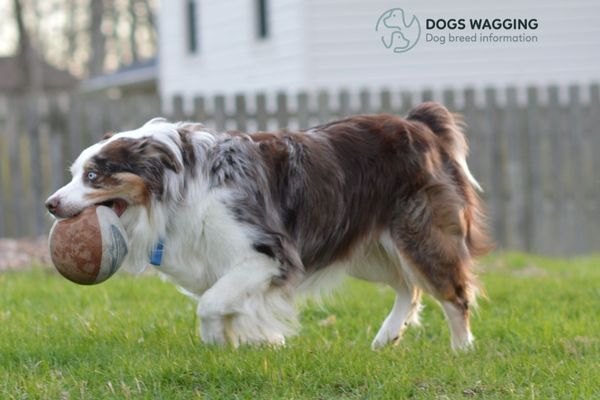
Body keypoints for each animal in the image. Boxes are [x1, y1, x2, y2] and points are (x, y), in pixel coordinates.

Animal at [45, 102, 488, 350]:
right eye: (73, 173)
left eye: (94, 176)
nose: (50, 204)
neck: (177, 185)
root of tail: (420, 123)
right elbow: (228, 305)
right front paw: (247, 342)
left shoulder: (269, 255)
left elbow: (210, 304)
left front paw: (219, 343)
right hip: (366, 248)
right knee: (409, 288)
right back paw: (387, 338)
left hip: (417, 232)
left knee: (453, 293)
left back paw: (462, 350)